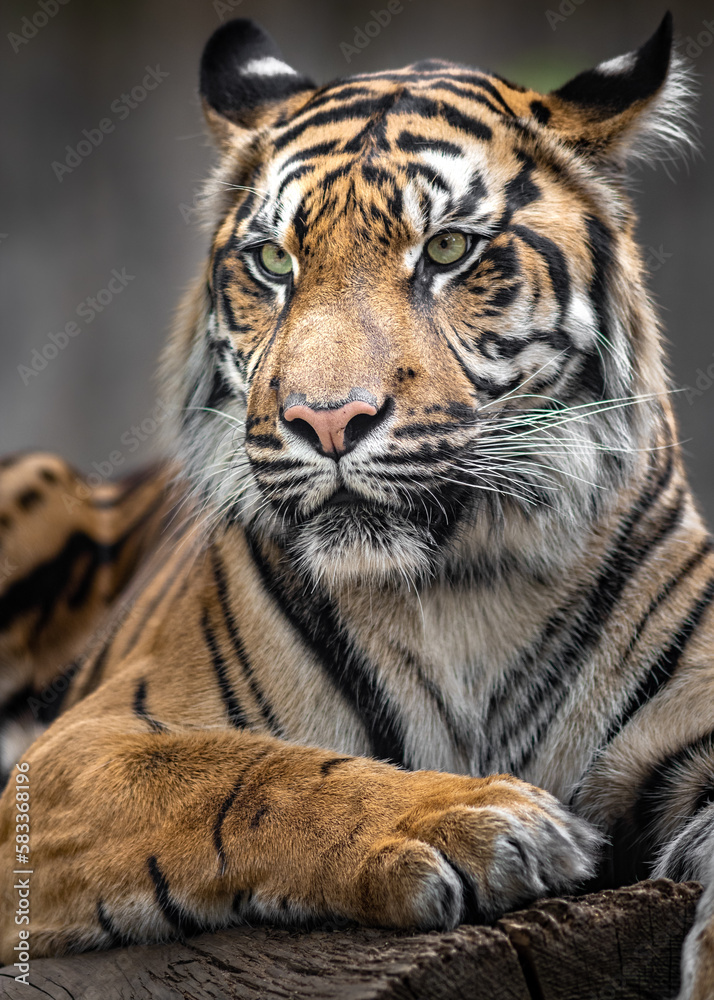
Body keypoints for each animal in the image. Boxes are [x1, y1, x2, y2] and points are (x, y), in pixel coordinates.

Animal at [1, 11, 713, 997]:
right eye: (273, 261)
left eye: (447, 249)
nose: (326, 419)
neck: (468, 593)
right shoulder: (81, 749)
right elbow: (244, 771)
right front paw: (478, 821)